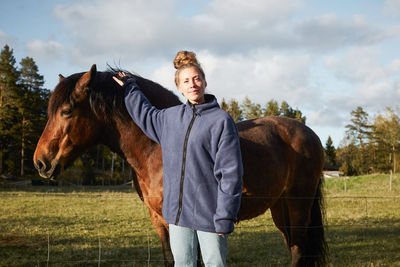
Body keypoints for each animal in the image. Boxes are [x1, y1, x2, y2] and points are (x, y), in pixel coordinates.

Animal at [34, 65, 328, 267]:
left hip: (298, 205)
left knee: (299, 250)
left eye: (67, 111)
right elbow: (171, 259)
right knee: (294, 246)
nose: (41, 162)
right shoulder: (159, 220)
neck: (156, 148)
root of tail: (309, 133)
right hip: (280, 207)